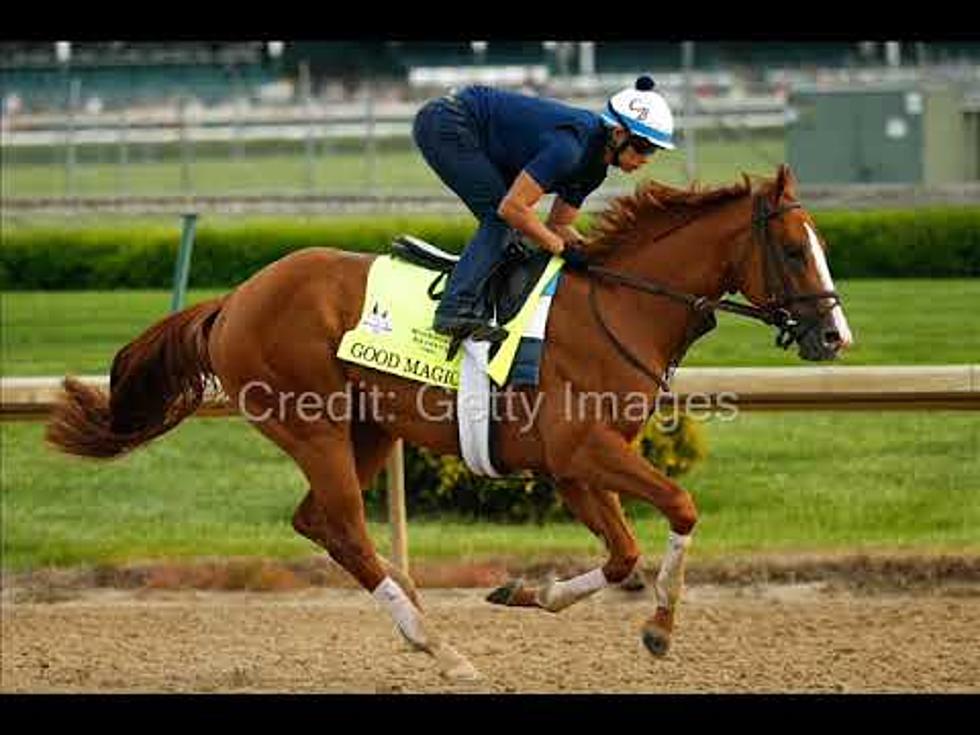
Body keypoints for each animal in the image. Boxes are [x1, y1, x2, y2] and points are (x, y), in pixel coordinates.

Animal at [49, 164, 852, 680]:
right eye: (792, 249)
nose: (835, 336)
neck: (618, 307)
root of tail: (235, 297)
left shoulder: (573, 465)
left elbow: (623, 553)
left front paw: (527, 593)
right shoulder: (582, 450)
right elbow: (681, 506)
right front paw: (657, 627)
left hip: (370, 428)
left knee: (318, 523)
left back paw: (420, 616)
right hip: (313, 424)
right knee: (344, 527)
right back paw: (436, 644)